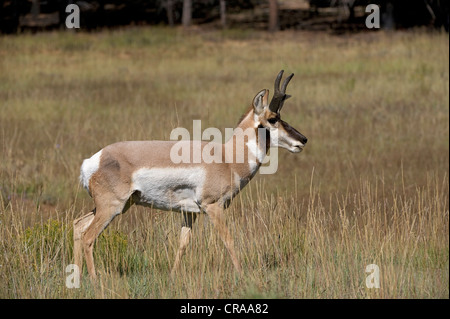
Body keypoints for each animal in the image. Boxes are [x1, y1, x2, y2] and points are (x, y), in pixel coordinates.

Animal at [74, 70, 306, 280]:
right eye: (273, 118)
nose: (303, 140)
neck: (226, 157)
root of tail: (95, 159)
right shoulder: (213, 207)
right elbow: (228, 239)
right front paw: (242, 275)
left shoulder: (189, 213)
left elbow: (183, 244)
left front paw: (172, 276)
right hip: (111, 207)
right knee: (87, 237)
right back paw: (94, 280)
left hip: (116, 206)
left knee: (77, 226)